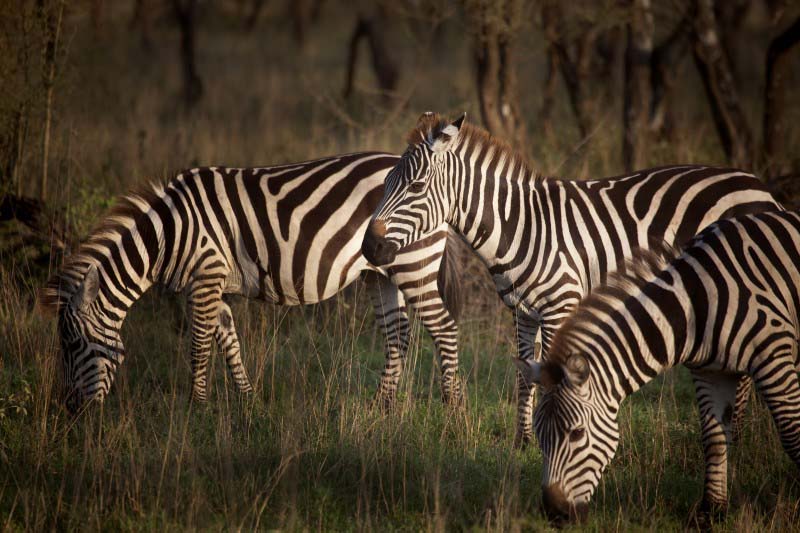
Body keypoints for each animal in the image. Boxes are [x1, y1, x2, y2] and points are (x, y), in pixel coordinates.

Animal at [40, 152, 462, 414]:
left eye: (73, 344)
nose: (71, 411)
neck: (168, 235)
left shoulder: (206, 274)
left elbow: (199, 345)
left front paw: (197, 407)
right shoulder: (211, 283)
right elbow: (229, 340)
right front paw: (247, 400)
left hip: (413, 264)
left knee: (443, 328)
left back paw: (452, 409)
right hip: (381, 273)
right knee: (398, 333)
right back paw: (382, 408)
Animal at [362, 112, 780, 444]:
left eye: (415, 187)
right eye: (386, 182)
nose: (369, 247)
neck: (522, 226)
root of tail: (761, 187)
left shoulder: (559, 307)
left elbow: (552, 375)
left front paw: (550, 440)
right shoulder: (523, 312)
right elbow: (525, 377)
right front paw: (523, 442)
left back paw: (740, 434)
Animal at [516, 209, 800, 524]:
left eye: (576, 433)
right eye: (540, 436)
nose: (554, 513)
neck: (693, 306)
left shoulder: (772, 355)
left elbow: (792, 434)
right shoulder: (709, 373)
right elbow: (714, 439)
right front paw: (711, 512)